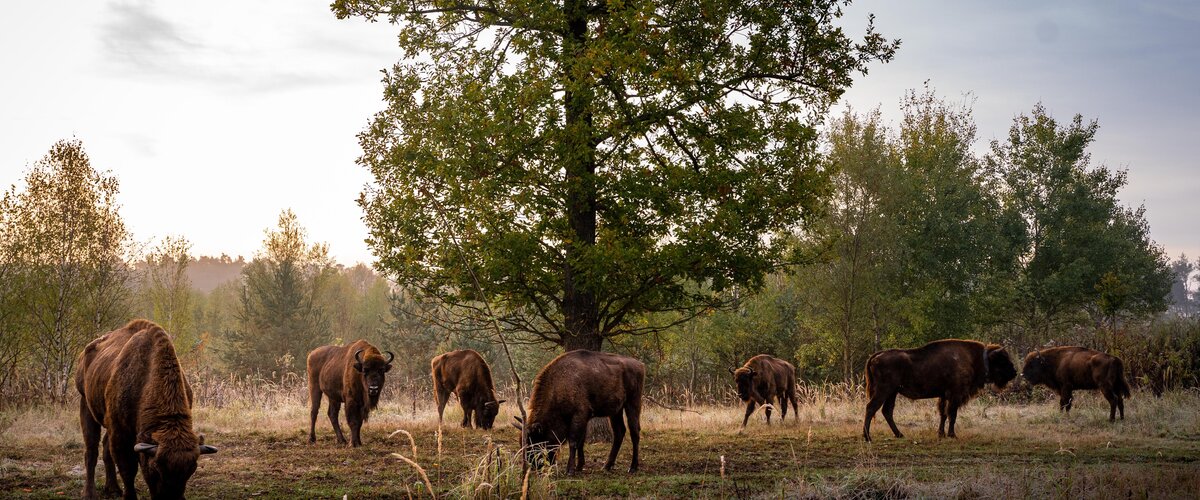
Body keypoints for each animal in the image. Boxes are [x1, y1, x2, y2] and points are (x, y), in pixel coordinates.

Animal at [76, 318, 218, 498]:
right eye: (156, 467)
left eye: (191, 469)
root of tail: (85, 354)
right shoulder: (121, 433)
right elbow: (128, 470)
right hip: (86, 405)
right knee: (91, 451)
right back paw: (89, 493)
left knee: (106, 449)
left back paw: (113, 489)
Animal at [516, 347, 648, 472]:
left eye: (535, 443)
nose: (535, 466)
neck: (560, 384)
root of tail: (640, 365)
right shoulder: (584, 418)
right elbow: (581, 441)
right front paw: (579, 466)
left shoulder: (579, 415)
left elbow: (574, 441)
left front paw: (570, 469)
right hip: (616, 411)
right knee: (619, 432)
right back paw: (606, 466)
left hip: (632, 403)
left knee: (634, 431)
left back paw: (632, 467)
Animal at [859, 338, 1017, 441]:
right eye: (1002, 360)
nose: (1014, 372)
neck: (975, 359)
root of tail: (876, 356)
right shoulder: (955, 395)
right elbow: (952, 414)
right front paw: (952, 435)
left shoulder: (944, 395)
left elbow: (943, 414)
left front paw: (941, 434)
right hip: (884, 391)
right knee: (871, 408)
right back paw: (868, 437)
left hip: (892, 392)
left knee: (887, 411)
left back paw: (899, 434)